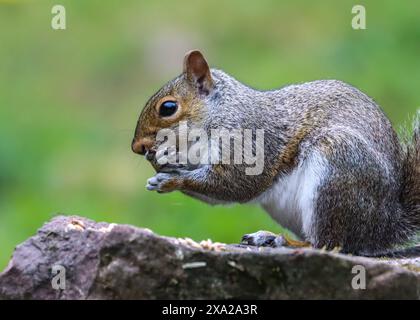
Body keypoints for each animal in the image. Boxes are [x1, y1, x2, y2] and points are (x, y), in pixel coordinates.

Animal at [131, 48, 420, 256]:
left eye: (168, 108)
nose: (137, 147)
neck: (220, 113)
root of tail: (385, 226)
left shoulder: (248, 143)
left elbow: (235, 184)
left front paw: (171, 177)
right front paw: (159, 174)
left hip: (338, 167)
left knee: (330, 245)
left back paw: (282, 242)